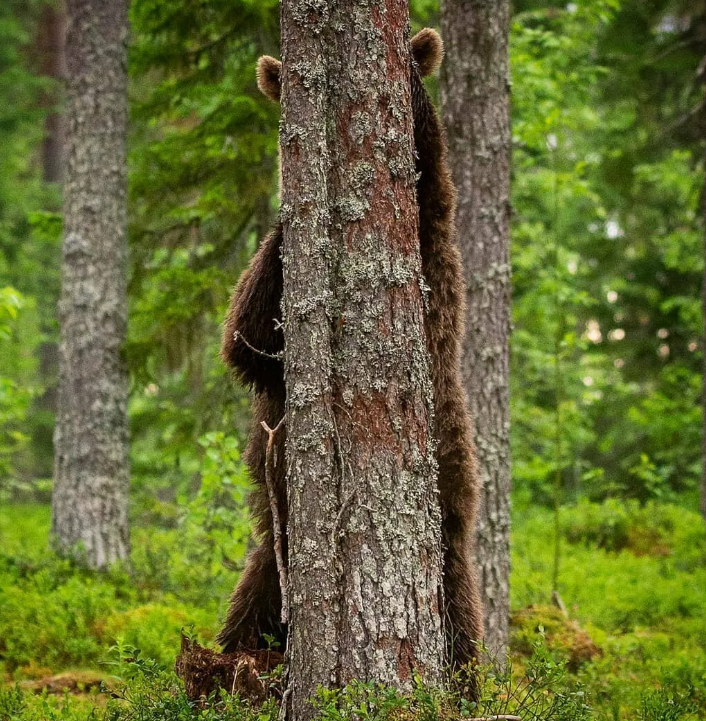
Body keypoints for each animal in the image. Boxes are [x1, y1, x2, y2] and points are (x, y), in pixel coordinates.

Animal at [217, 26, 482, 668]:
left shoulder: (430, 269)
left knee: (459, 614)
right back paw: (238, 660)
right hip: (276, 552)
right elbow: (248, 338)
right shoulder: (268, 346)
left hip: (447, 529)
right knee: (252, 602)